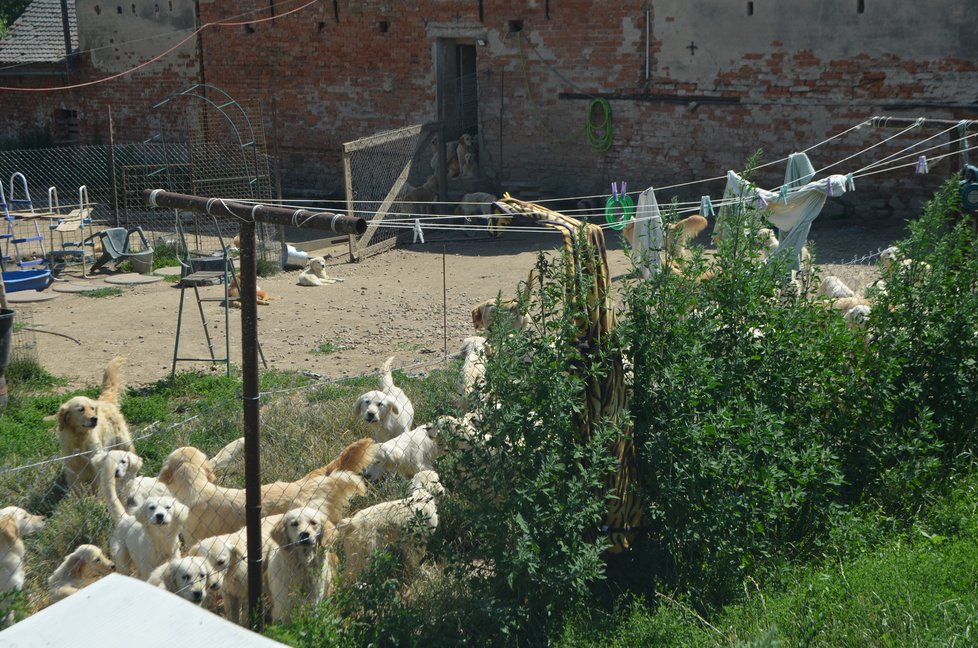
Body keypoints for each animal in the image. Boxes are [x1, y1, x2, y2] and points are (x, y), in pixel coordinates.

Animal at [55, 356, 133, 494]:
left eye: (92, 408)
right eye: (81, 409)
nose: (95, 419)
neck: (79, 439)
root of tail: (105, 401)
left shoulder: (96, 467)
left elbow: (97, 488)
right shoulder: (73, 471)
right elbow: (77, 491)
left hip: (124, 443)